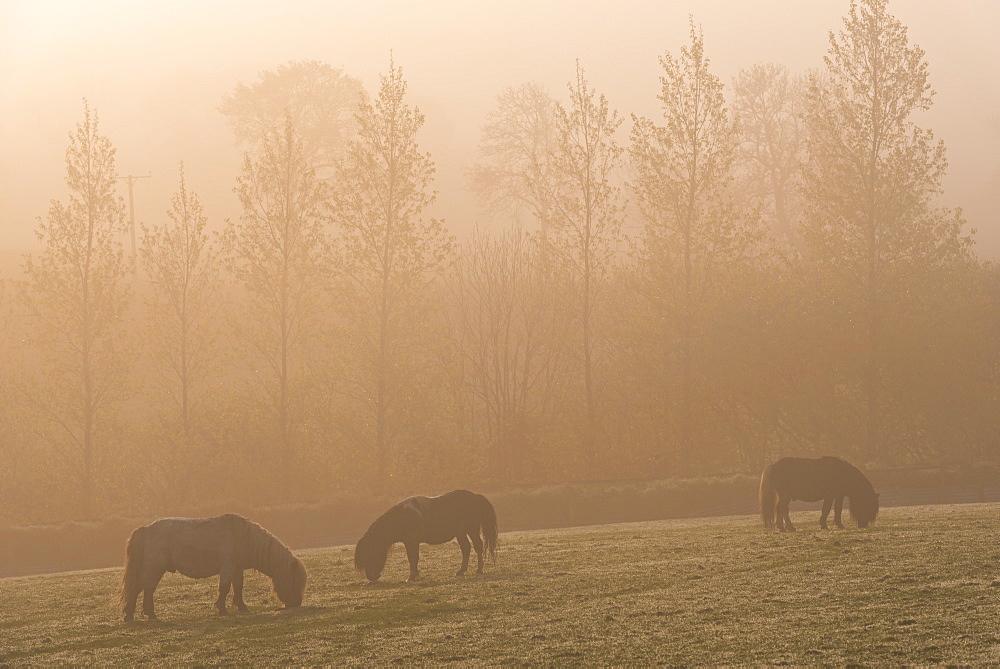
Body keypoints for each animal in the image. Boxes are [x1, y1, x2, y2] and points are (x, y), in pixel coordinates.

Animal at [118, 512, 304, 620]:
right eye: (294, 580)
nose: (296, 603)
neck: (243, 537)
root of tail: (146, 529)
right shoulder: (227, 568)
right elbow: (225, 588)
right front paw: (222, 609)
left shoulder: (237, 569)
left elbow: (238, 587)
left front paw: (242, 607)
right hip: (153, 568)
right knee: (139, 588)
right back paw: (131, 615)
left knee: (147, 589)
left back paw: (149, 614)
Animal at [354, 488, 498, 580]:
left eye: (370, 555)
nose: (371, 577)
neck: (402, 517)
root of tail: (476, 496)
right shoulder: (410, 542)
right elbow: (413, 558)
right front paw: (415, 574)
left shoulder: (412, 542)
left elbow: (413, 558)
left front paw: (411, 577)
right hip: (461, 533)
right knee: (466, 549)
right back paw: (461, 571)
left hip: (471, 529)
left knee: (478, 546)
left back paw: (479, 570)